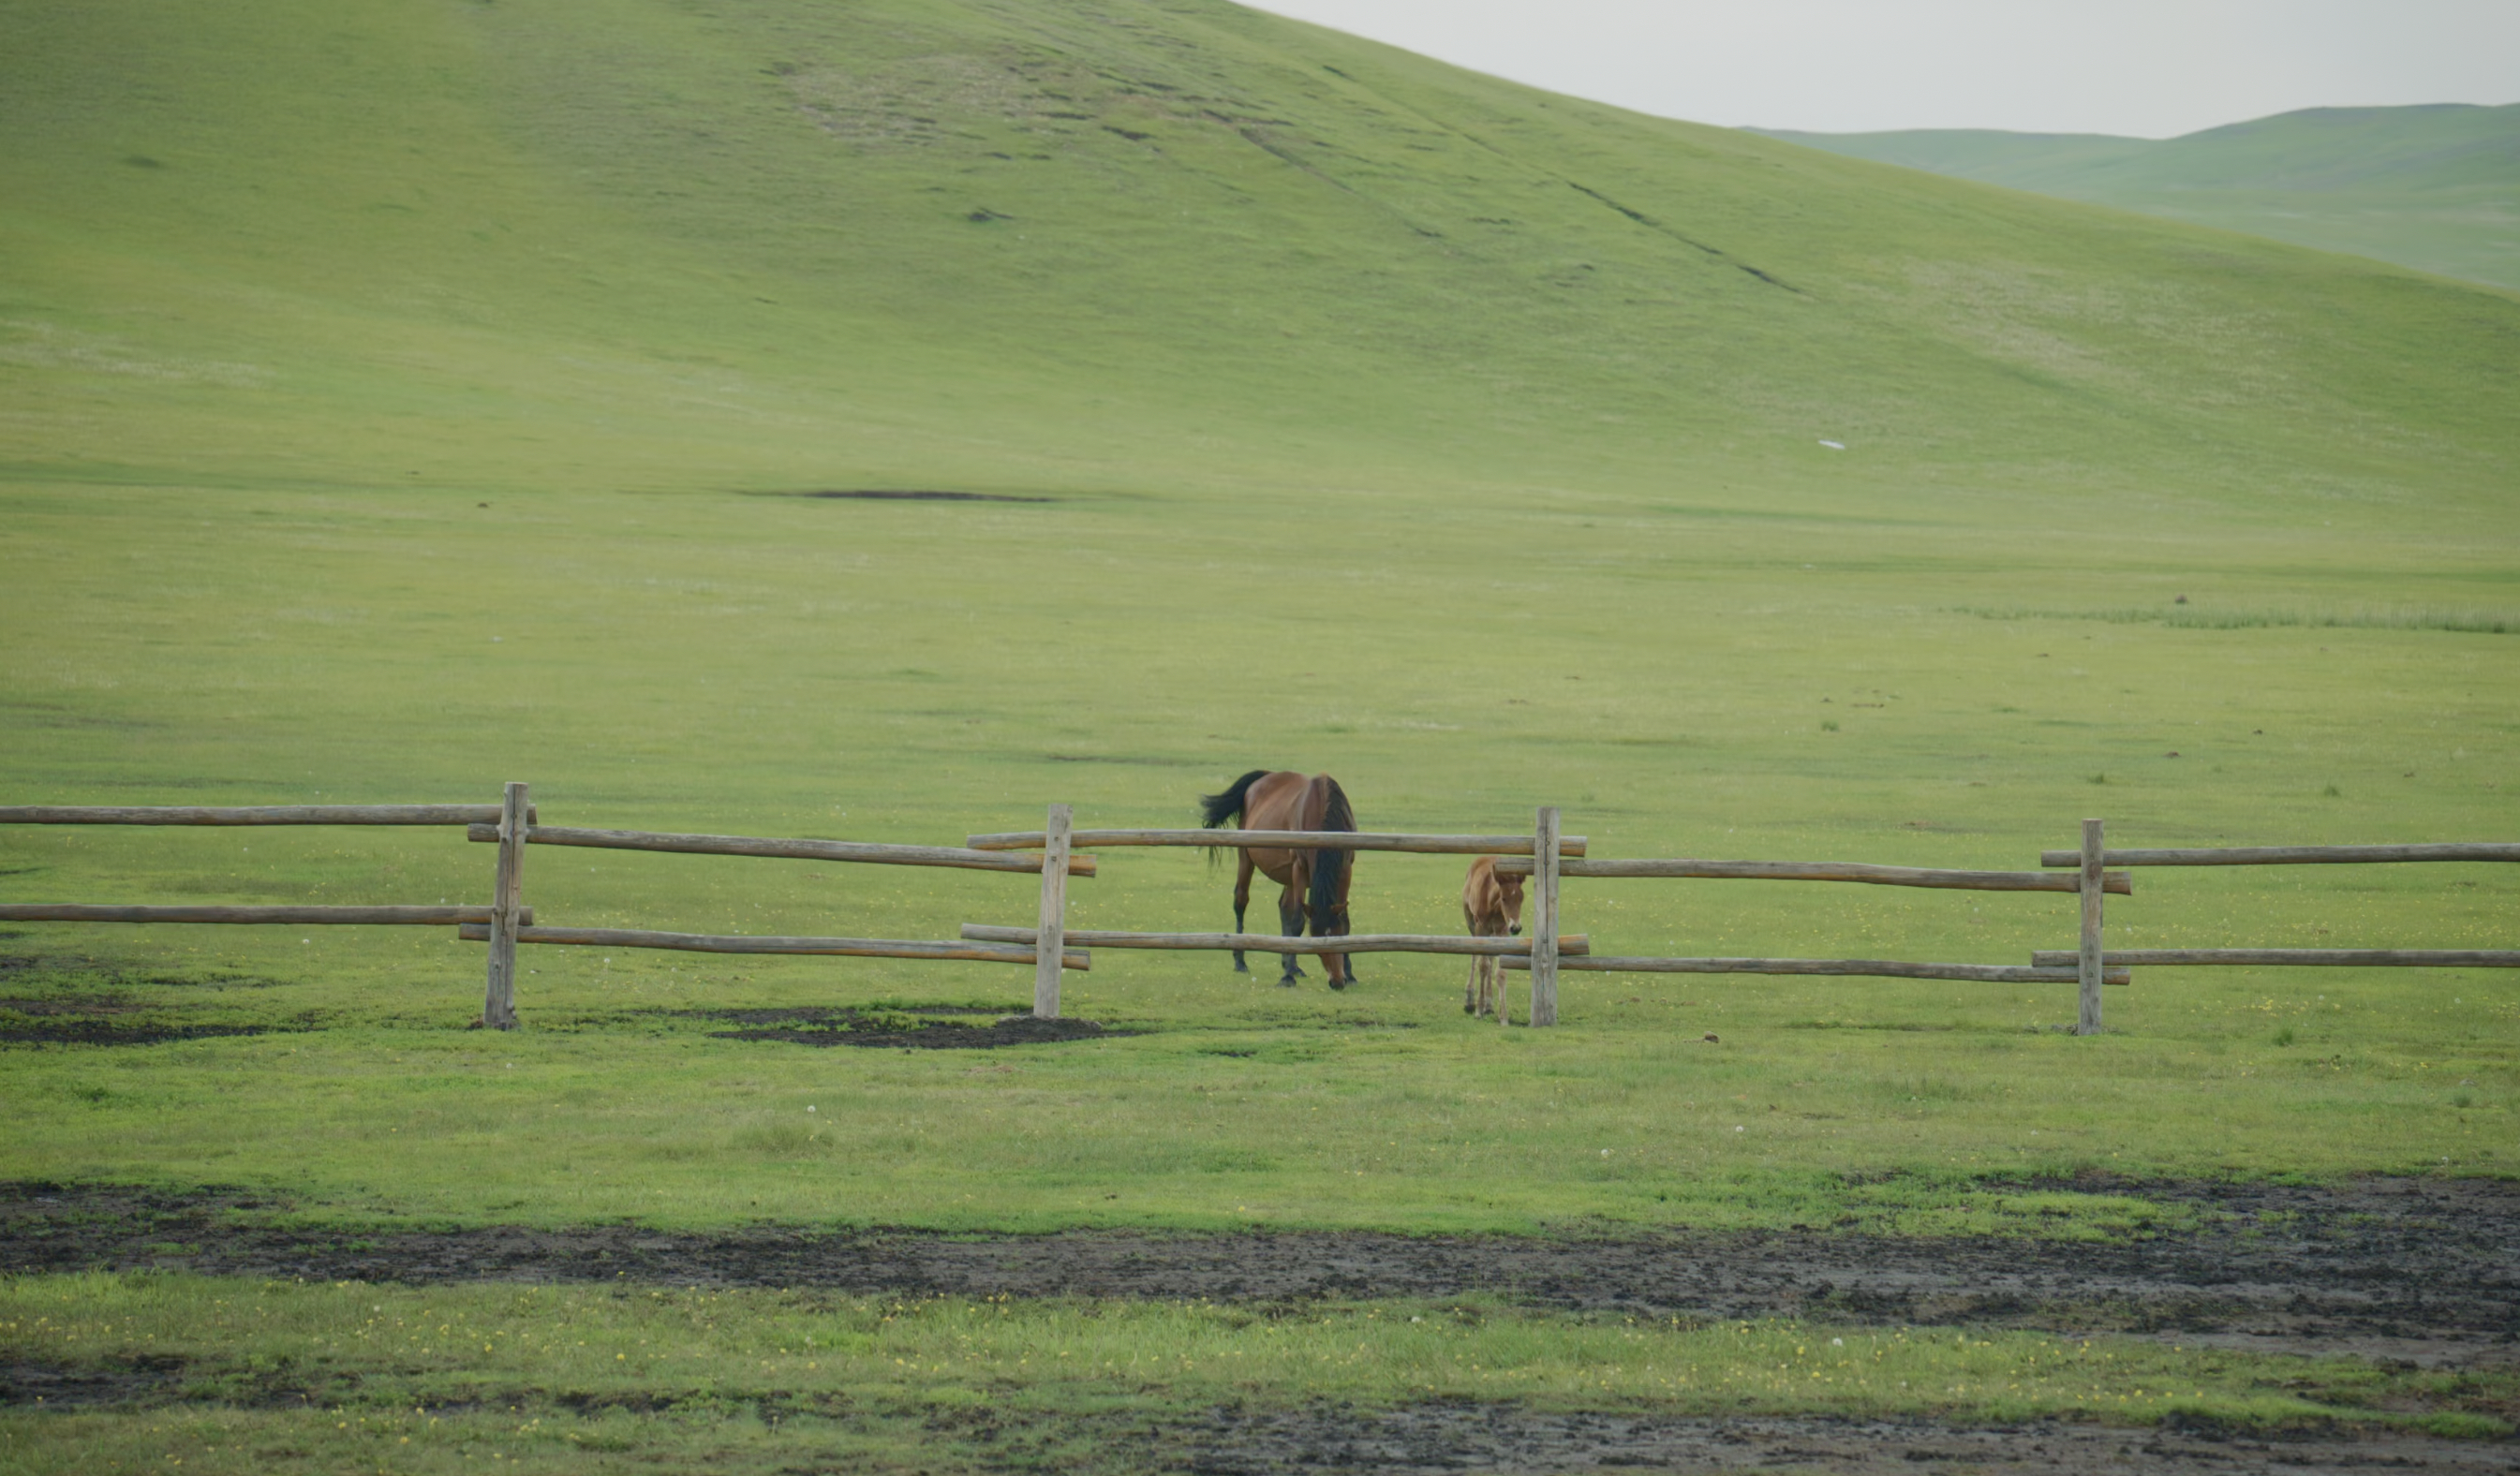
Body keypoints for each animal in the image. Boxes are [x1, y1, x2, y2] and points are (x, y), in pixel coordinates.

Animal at [1197, 769, 1357, 989]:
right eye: (1317, 943)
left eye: (1336, 938)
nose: (1337, 982)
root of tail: (1263, 777)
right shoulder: (1299, 868)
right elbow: (1297, 923)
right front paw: (1287, 977)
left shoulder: (1345, 868)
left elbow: (1345, 922)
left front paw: (1350, 974)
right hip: (1247, 857)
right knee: (1241, 901)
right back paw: (1241, 961)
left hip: (1288, 875)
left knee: (1283, 906)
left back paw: (1292, 964)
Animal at [1461, 856, 1525, 1023]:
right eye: (1503, 898)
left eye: (1522, 898)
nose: (1516, 927)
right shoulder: (1481, 927)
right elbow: (1483, 966)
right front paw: (1478, 1009)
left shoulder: (1503, 930)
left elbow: (1500, 970)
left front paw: (1503, 1016)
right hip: (1471, 922)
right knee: (1475, 956)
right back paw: (1470, 999)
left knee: (1491, 958)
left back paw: (1489, 1004)